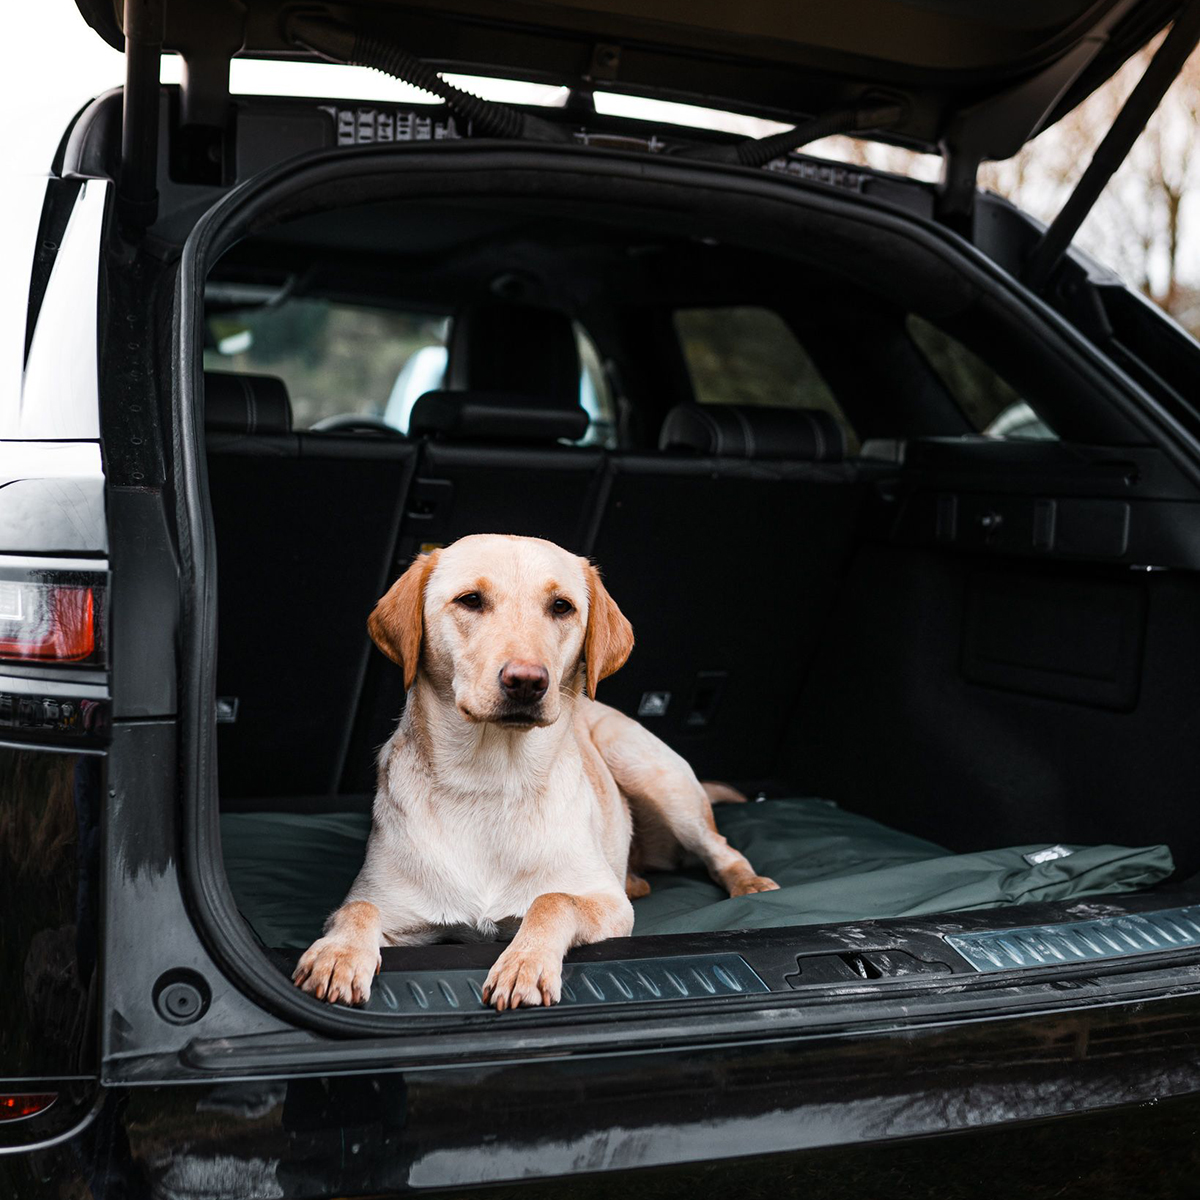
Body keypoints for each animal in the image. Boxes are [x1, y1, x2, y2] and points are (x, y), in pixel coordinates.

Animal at [292, 535, 777, 1012]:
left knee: (721, 848)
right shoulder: (391, 909)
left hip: (646, 766)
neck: (490, 781)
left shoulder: (608, 903)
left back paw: (750, 883)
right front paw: (338, 955)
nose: (526, 681)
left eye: (561, 607)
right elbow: (358, 909)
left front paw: (524, 962)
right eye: (470, 600)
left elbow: (553, 899)